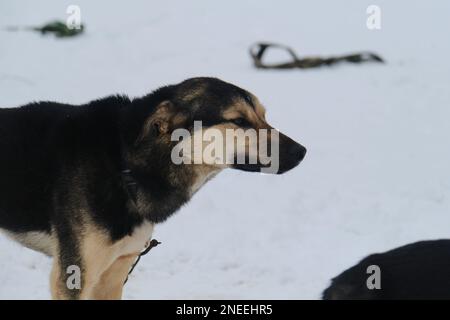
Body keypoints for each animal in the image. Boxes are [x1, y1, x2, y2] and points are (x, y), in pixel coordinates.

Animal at [0, 77, 306, 300]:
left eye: (263, 116)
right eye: (239, 121)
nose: (302, 151)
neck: (123, 164)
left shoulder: (115, 271)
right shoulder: (74, 276)